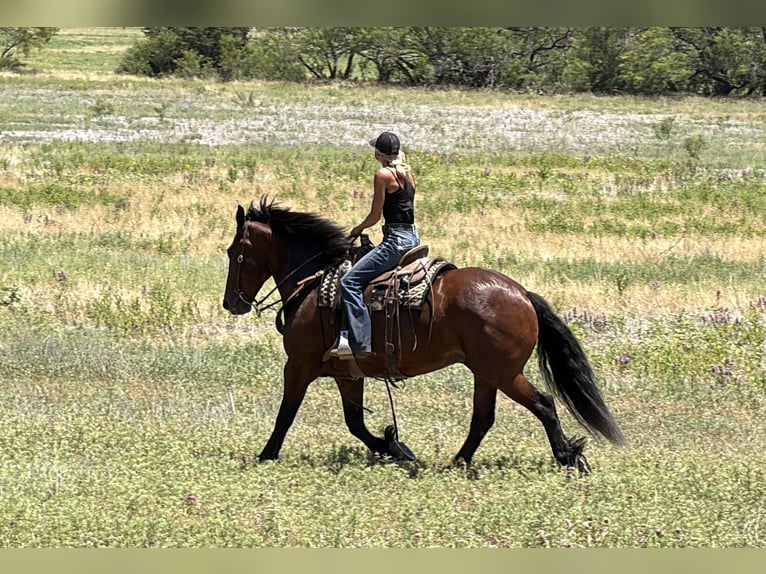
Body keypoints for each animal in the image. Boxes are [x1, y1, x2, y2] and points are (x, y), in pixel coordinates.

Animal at [222, 196, 626, 472]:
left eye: (234, 253)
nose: (231, 302)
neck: (314, 283)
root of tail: (522, 294)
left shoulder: (298, 366)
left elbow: (286, 414)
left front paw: (265, 455)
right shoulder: (348, 373)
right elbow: (355, 423)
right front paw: (395, 447)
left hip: (503, 373)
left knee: (543, 404)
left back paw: (568, 456)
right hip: (487, 373)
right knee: (483, 419)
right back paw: (457, 462)